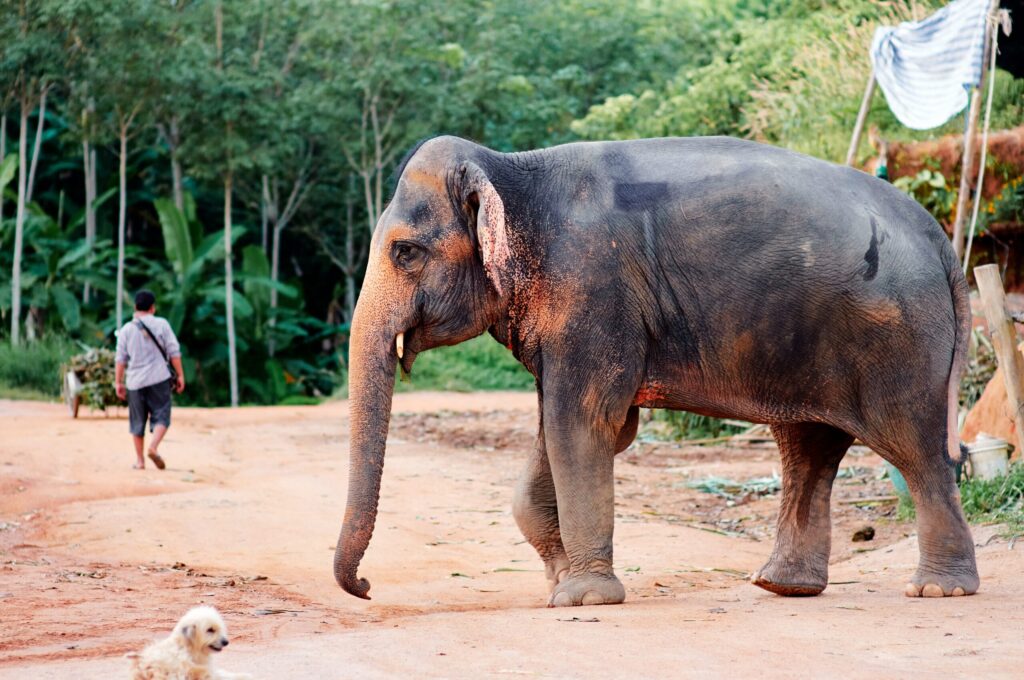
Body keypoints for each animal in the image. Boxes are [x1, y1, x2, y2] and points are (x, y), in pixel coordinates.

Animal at [334, 134, 978, 607]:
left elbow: (581, 424)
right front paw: (560, 581)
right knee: (808, 449)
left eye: (404, 252)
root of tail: (937, 237)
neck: (511, 169)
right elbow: (564, 429)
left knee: (915, 449)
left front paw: (583, 599)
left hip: (898, 336)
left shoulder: (592, 289)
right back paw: (783, 587)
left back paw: (937, 589)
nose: (365, 587)